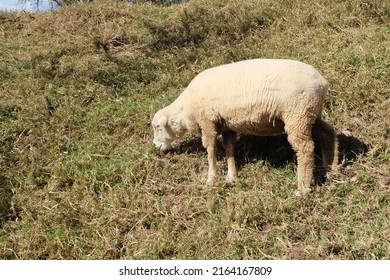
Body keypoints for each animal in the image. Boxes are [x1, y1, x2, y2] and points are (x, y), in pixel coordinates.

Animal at [152, 58, 338, 196]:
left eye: (157, 127)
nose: (155, 145)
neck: (186, 110)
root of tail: (322, 82)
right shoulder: (226, 125)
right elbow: (229, 149)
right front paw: (231, 177)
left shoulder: (207, 122)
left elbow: (211, 150)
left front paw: (211, 178)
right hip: (310, 113)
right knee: (328, 133)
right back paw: (331, 169)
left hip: (297, 114)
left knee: (306, 148)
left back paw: (303, 189)